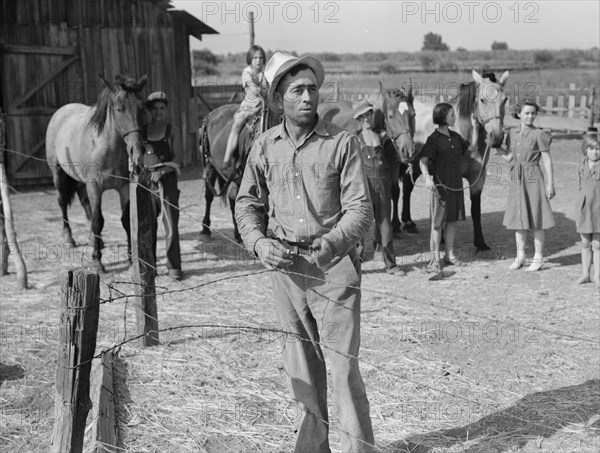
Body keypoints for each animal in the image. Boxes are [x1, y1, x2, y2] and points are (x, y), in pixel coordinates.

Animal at [45, 74, 146, 272]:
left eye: (142, 108)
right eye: (119, 109)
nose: (136, 150)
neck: (106, 147)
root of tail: (61, 112)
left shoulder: (123, 188)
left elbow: (125, 220)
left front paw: (131, 259)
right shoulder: (95, 187)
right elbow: (99, 221)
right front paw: (97, 261)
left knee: (85, 204)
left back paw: (94, 239)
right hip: (59, 175)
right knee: (63, 203)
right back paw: (69, 238)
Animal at [394, 69, 510, 251]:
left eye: (505, 99)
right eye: (482, 100)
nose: (496, 138)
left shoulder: (478, 177)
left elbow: (476, 210)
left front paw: (480, 243)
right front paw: (441, 238)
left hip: (415, 164)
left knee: (407, 186)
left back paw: (409, 223)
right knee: (396, 192)